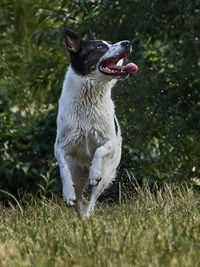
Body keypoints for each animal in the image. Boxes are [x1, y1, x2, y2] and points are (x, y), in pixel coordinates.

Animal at [54, 28, 138, 218]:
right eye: (100, 46)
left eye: (110, 42)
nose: (127, 43)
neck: (89, 96)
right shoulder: (60, 146)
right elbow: (63, 168)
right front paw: (67, 193)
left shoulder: (109, 141)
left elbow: (100, 150)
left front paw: (94, 172)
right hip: (77, 173)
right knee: (78, 197)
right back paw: (78, 213)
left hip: (106, 175)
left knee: (92, 197)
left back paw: (87, 214)